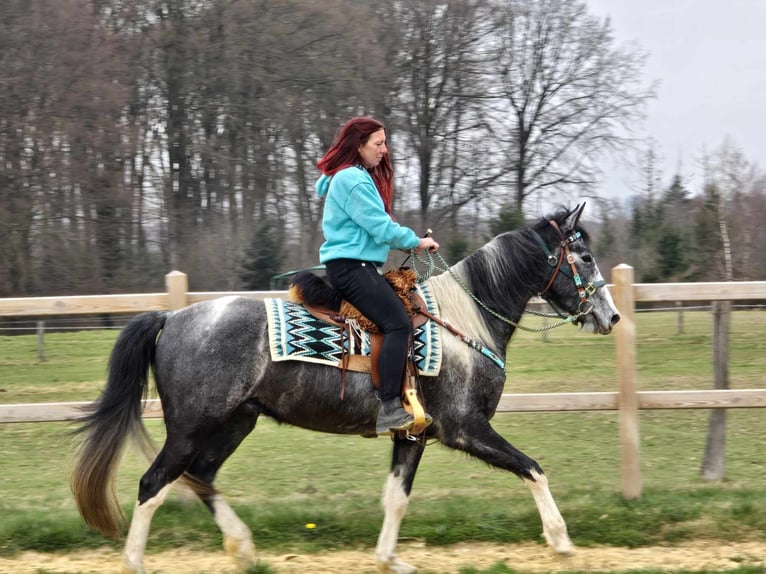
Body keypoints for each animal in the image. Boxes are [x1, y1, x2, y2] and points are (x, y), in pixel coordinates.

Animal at [71, 203, 620, 574]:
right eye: (585, 257)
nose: (611, 316)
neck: (463, 324)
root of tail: (172, 318)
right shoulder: (465, 428)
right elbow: (533, 468)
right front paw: (560, 539)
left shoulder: (414, 436)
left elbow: (396, 498)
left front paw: (388, 558)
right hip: (190, 427)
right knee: (154, 484)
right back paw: (138, 560)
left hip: (235, 422)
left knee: (200, 476)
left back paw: (243, 547)